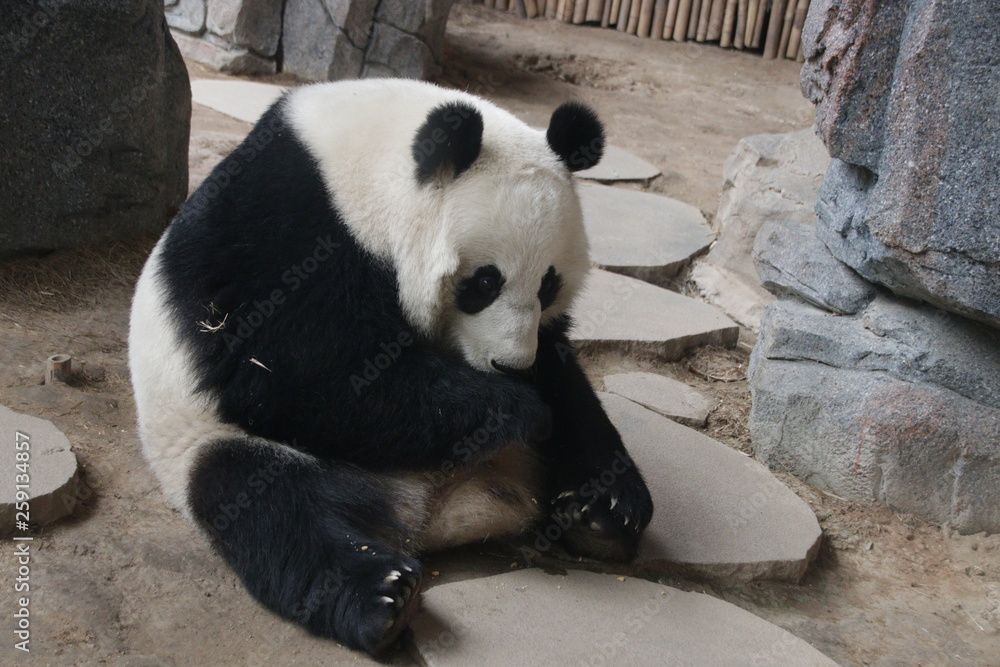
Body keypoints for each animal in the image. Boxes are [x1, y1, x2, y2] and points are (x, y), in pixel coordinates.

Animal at [129, 79, 653, 657]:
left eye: (549, 285)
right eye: (485, 282)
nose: (509, 365)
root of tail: (427, 514)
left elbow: (566, 382)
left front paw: (606, 494)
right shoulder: (279, 228)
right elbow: (292, 375)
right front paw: (514, 409)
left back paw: (600, 519)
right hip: (203, 438)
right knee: (268, 507)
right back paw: (380, 598)